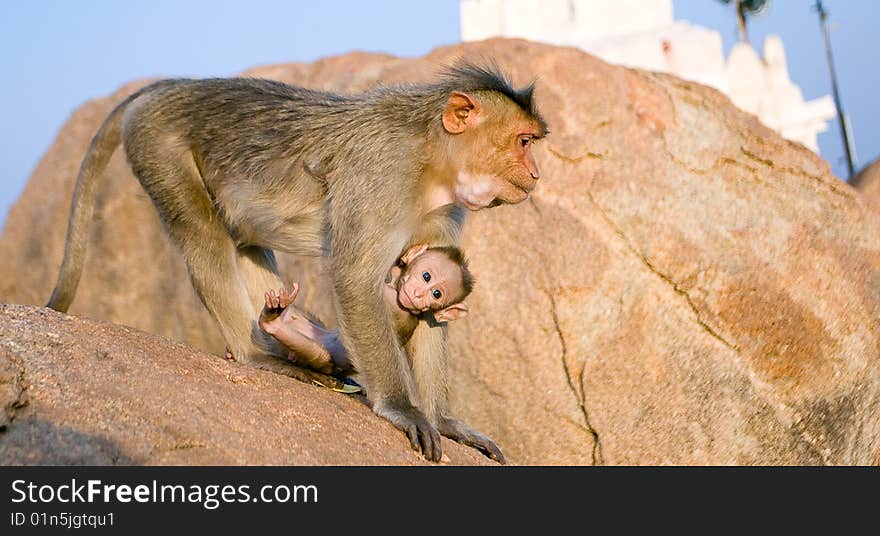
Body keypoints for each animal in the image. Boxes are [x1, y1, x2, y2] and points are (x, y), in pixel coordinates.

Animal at [258, 246, 470, 376]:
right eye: (426, 276)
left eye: (436, 294)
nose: (419, 295)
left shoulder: (394, 302)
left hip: (326, 361)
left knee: (312, 351)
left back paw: (272, 322)